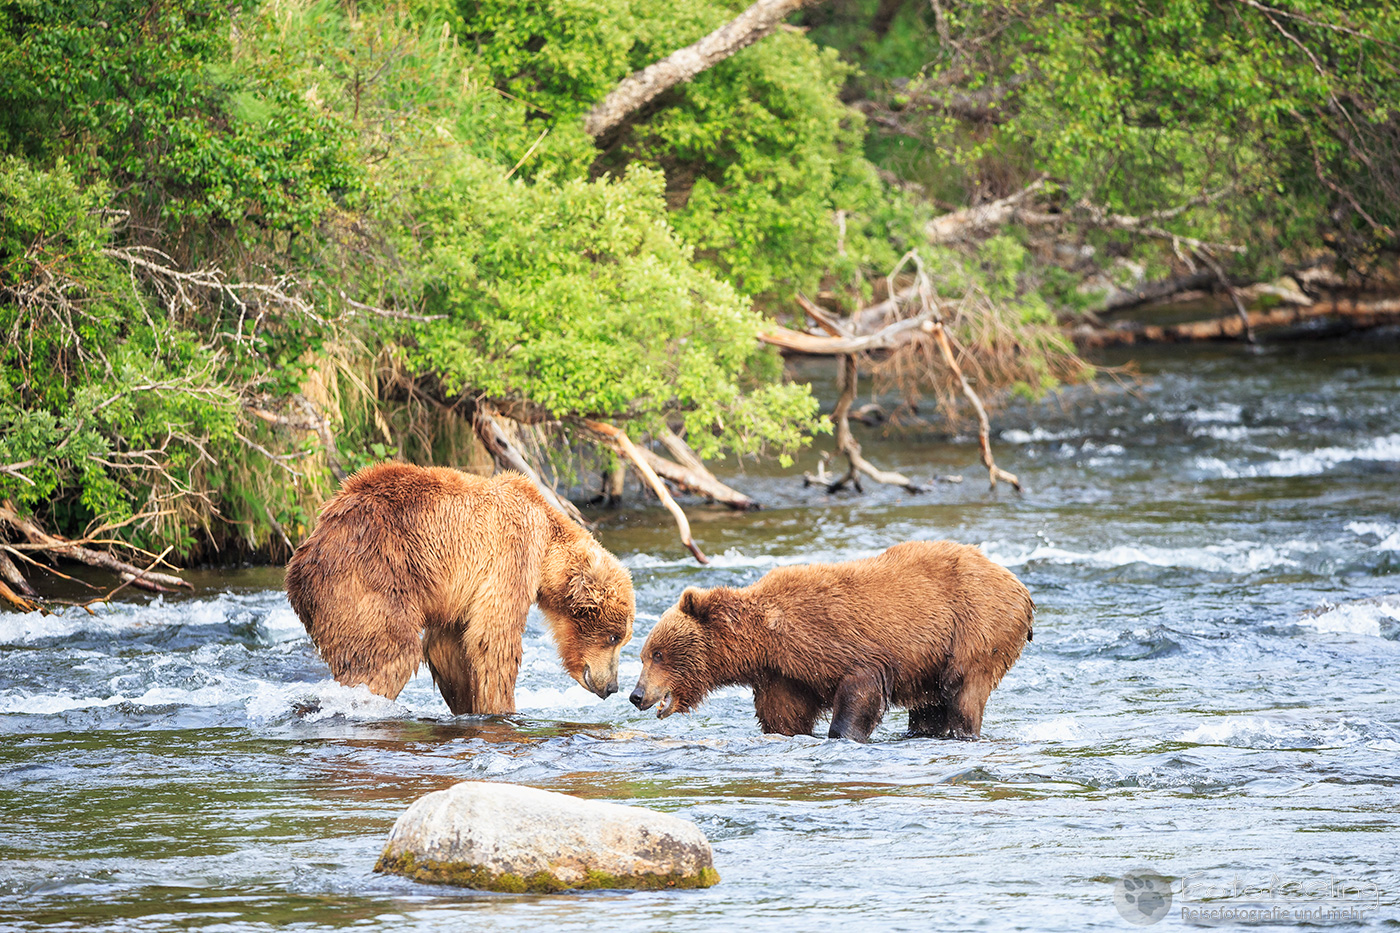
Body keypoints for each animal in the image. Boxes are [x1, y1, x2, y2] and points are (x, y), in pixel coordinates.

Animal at [284, 462, 635, 715]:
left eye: (622, 638)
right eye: (613, 637)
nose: (612, 687)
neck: (548, 548)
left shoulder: (457, 594)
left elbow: (451, 647)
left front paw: (468, 705)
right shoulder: (512, 551)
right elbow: (494, 639)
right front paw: (504, 710)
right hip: (371, 578)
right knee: (387, 654)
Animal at [629, 540, 1032, 742]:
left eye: (658, 653)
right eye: (645, 655)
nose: (636, 695)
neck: (764, 642)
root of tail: (1017, 583)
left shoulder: (835, 640)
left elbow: (860, 689)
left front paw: (842, 734)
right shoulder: (784, 676)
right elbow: (784, 718)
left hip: (975, 627)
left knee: (962, 691)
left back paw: (963, 732)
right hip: (930, 663)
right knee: (929, 706)